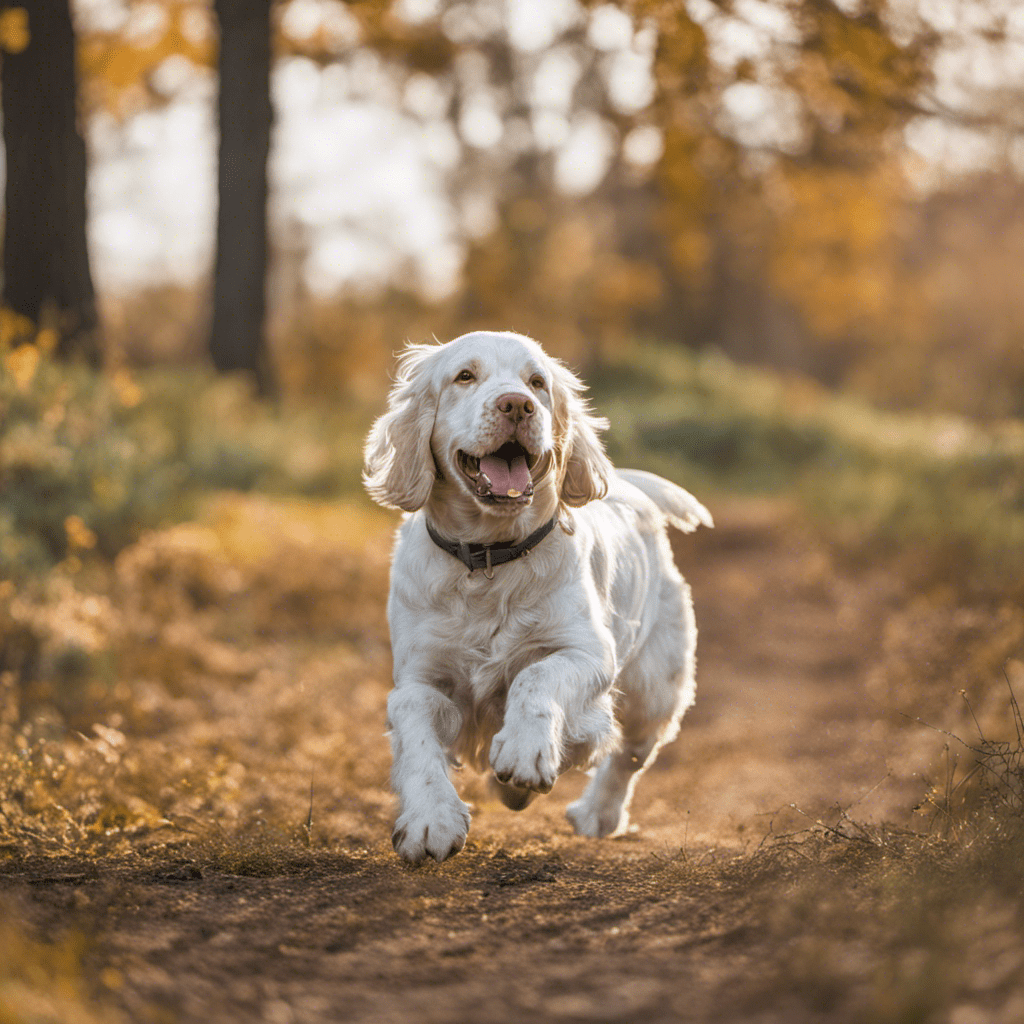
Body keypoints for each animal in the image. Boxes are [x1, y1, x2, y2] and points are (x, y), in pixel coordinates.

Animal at [362, 331, 712, 860]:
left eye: (537, 382)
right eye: (465, 376)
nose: (517, 405)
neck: (490, 559)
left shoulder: (589, 654)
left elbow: (536, 677)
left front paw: (526, 752)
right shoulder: (422, 678)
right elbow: (414, 729)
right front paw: (430, 821)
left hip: (655, 692)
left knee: (627, 757)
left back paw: (595, 814)